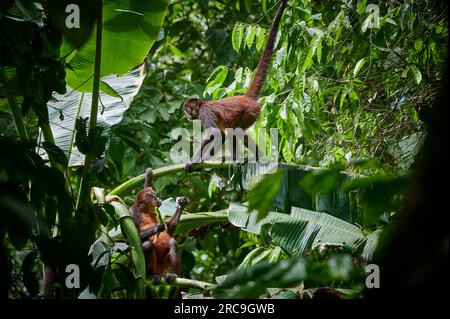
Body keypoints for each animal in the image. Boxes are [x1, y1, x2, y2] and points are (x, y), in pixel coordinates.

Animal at [184, 0, 286, 172]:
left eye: (188, 109)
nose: (187, 115)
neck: (202, 104)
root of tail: (246, 98)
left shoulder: (205, 112)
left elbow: (215, 133)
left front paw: (195, 161)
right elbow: (221, 135)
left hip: (250, 112)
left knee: (236, 132)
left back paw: (256, 157)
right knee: (232, 131)